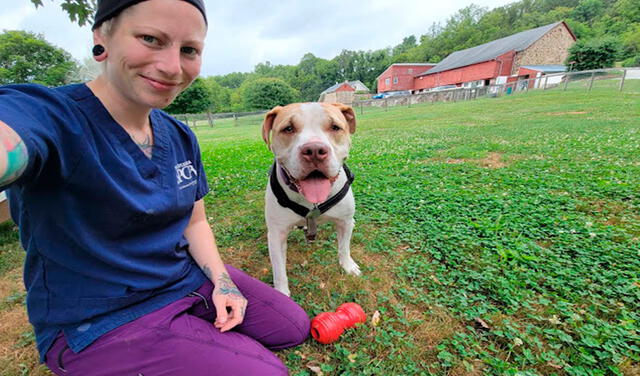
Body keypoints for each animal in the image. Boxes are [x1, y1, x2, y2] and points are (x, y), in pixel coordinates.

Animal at [260, 103, 360, 296]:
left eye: (335, 127)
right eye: (288, 128)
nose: (314, 150)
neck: (313, 203)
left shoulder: (345, 222)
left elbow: (344, 247)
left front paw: (347, 265)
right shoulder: (277, 234)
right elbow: (279, 271)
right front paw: (282, 294)